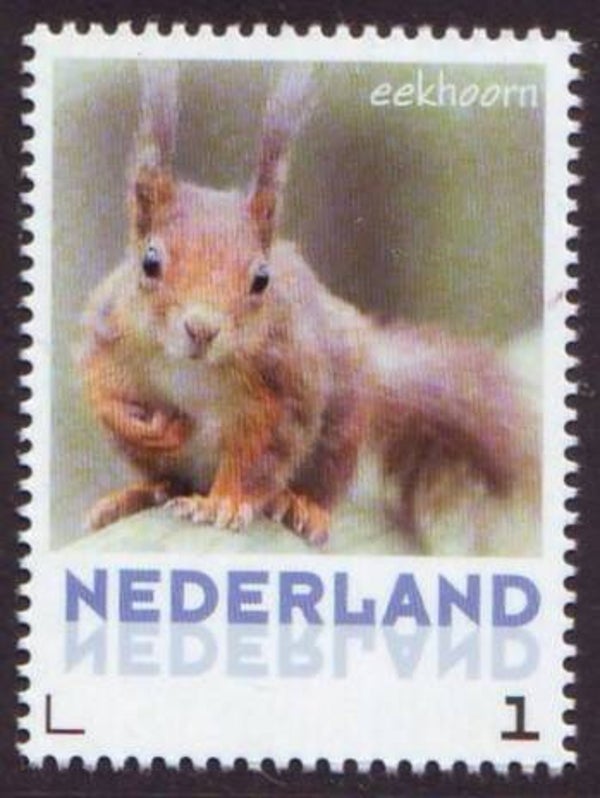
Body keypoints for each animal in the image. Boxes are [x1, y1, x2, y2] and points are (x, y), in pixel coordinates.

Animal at [77, 64, 538, 547]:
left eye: (262, 279)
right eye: (149, 262)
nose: (202, 329)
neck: (194, 368)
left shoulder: (285, 383)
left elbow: (258, 455)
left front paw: (224, 503)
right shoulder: (109, 333)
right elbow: (102, 393)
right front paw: (146, 425)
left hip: (342, 426)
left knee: (322, 481)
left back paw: (299, 504)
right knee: (166, 481)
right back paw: (133, 496)